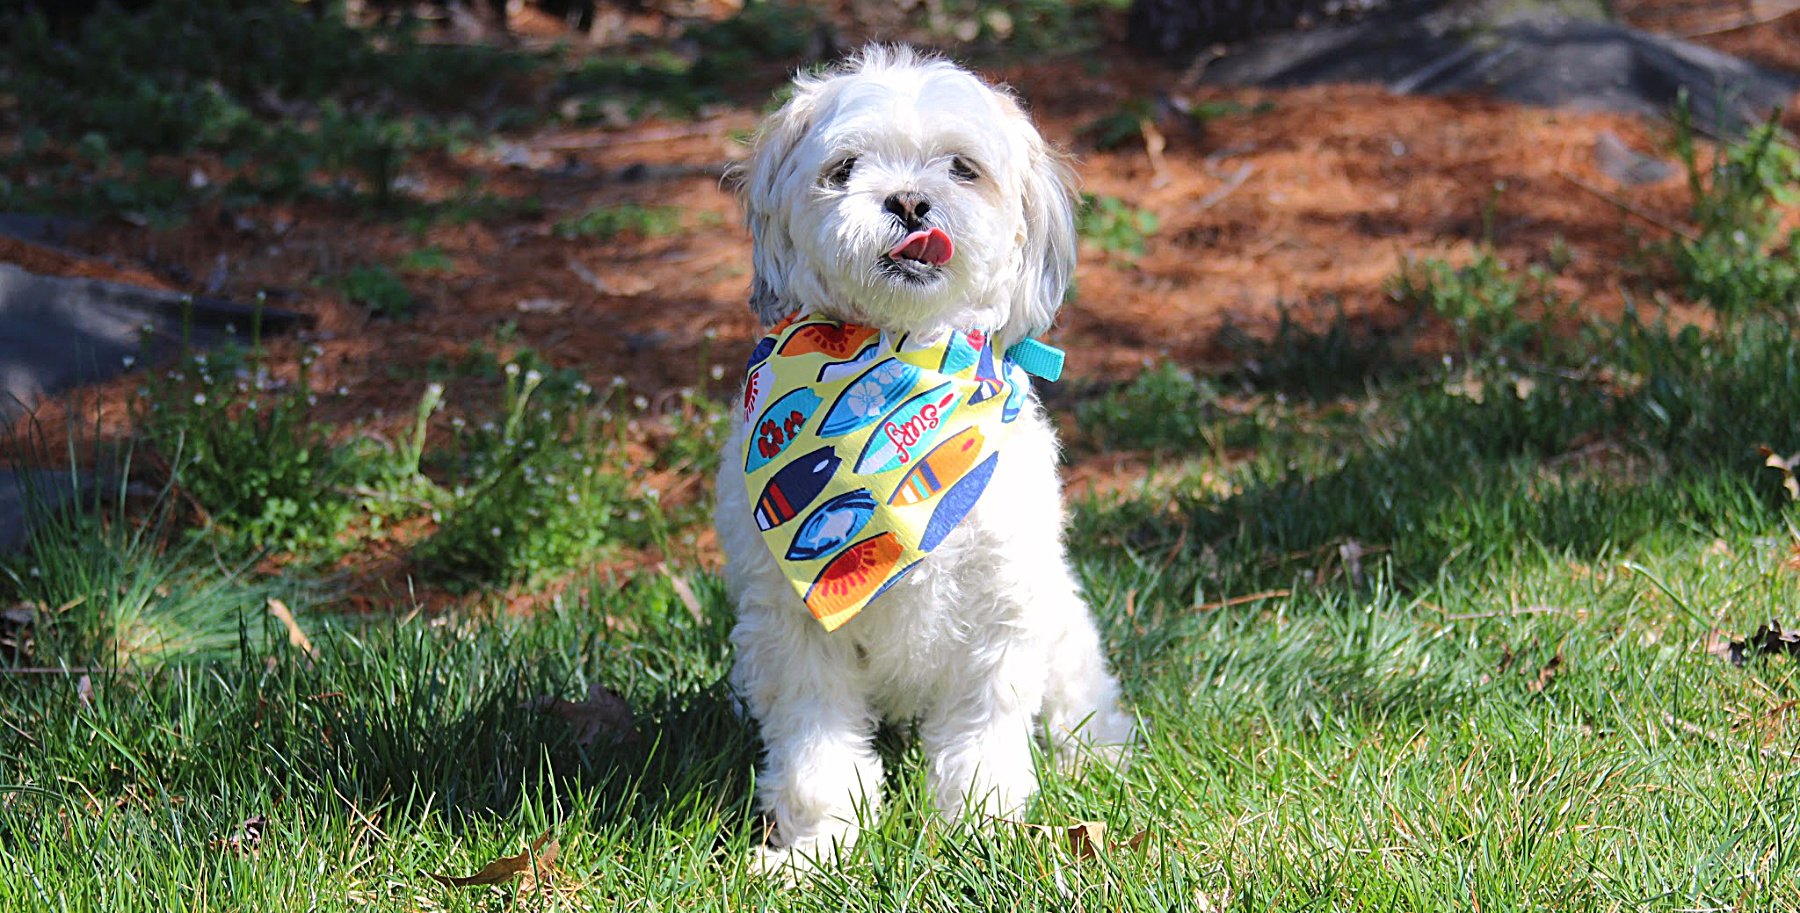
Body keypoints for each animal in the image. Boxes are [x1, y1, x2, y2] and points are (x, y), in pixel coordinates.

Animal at [712, 46, 1123, 875]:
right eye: (843, 168)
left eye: (963, 168)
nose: (908, 201)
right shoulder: (794, 628)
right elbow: (816, 752)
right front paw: (818, 846)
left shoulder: (1000, 611)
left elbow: (982, 738)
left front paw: (983, 829)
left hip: (1062, 621)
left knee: (1082, 695)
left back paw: (1095, 753)